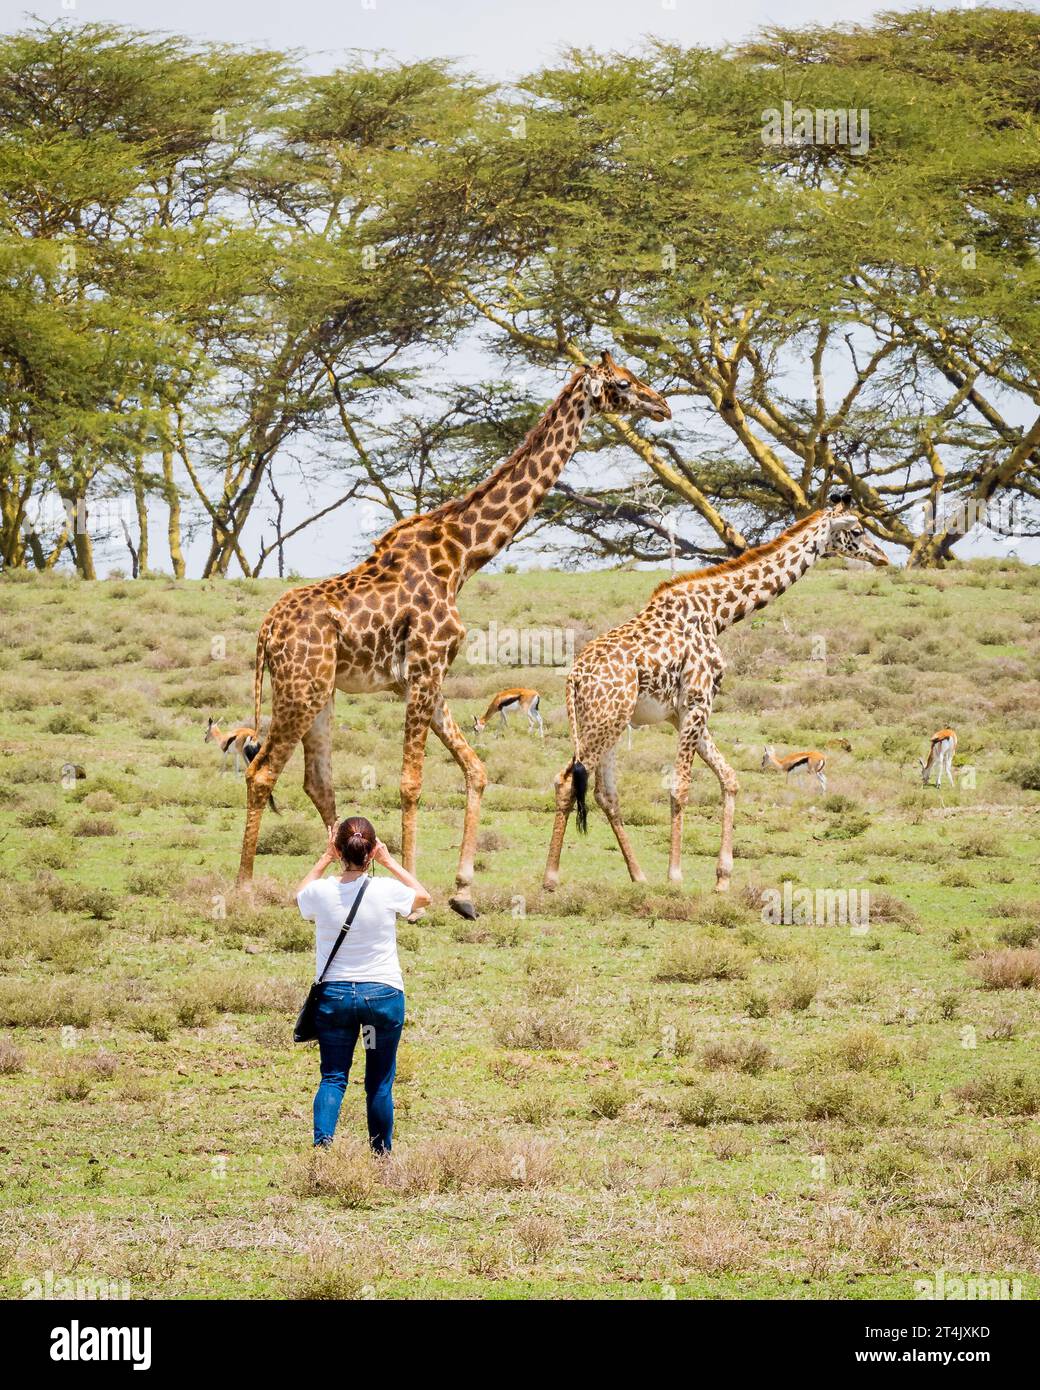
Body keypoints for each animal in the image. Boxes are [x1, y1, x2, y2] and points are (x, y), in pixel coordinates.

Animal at [236, 346, 675, 911]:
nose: (662, 406)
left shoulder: (425, 677)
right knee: (262, 771)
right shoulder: (425, 666)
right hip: (300, 687)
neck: (464, 556)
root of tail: (265, 631)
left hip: (320, 692)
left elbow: (476, 770)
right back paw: (244, 890)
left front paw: (463, 889)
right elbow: (411, 781)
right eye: (622, 382)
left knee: (318, 781)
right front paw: (414, 892)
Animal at [539, 497, 889, 889]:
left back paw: (638, 875)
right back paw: (551, 877)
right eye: (856, 530)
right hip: (604, 721)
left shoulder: (683, 713)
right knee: (566, 781)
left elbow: (730, 779)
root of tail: (574, 677)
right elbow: (680, 786)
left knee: (604, 792)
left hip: (606, 721)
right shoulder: (697, 703)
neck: (717, 614)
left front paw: (722, 877)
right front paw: (676, 874)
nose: (883, 557)